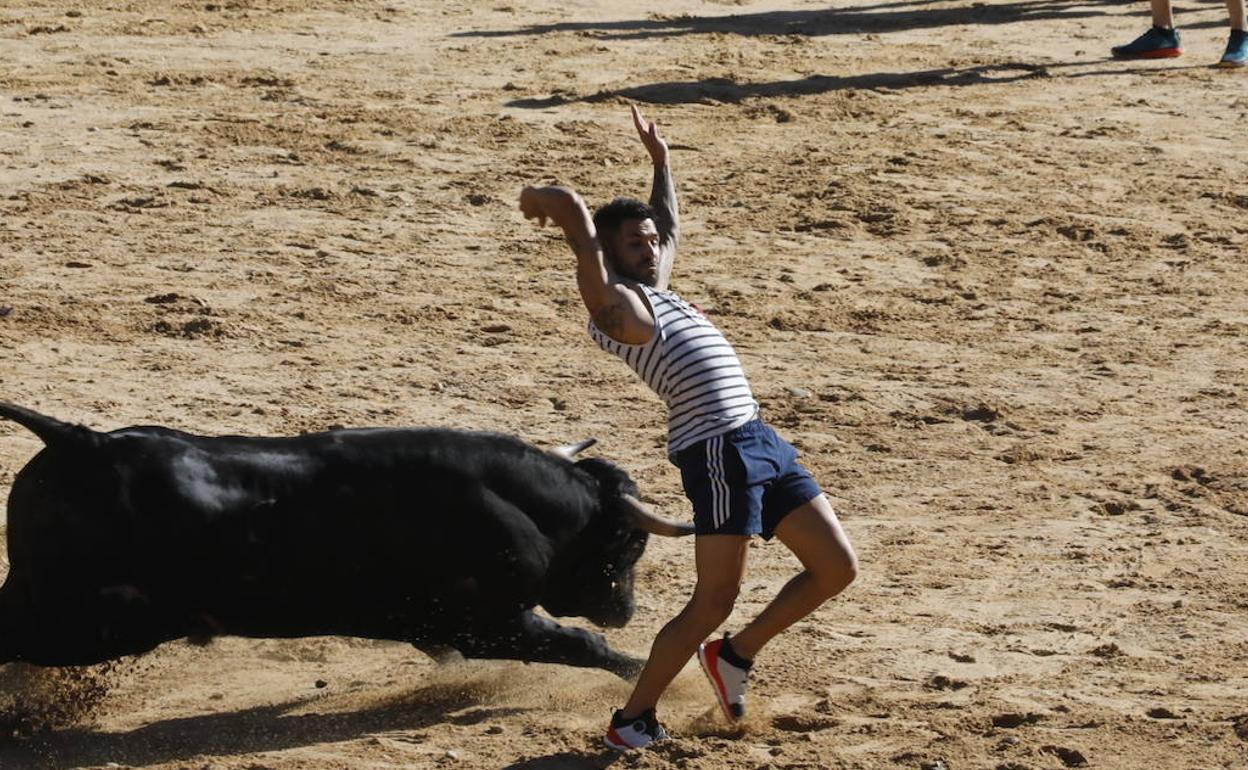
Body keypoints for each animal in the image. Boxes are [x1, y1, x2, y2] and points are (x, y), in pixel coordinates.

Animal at [0, 401, 693, 678]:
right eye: (629, 545)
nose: (626, 609)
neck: (516, 503)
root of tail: (82, 440)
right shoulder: (490, 622)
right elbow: (581, 645)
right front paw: (649, 676)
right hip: (86, 625)